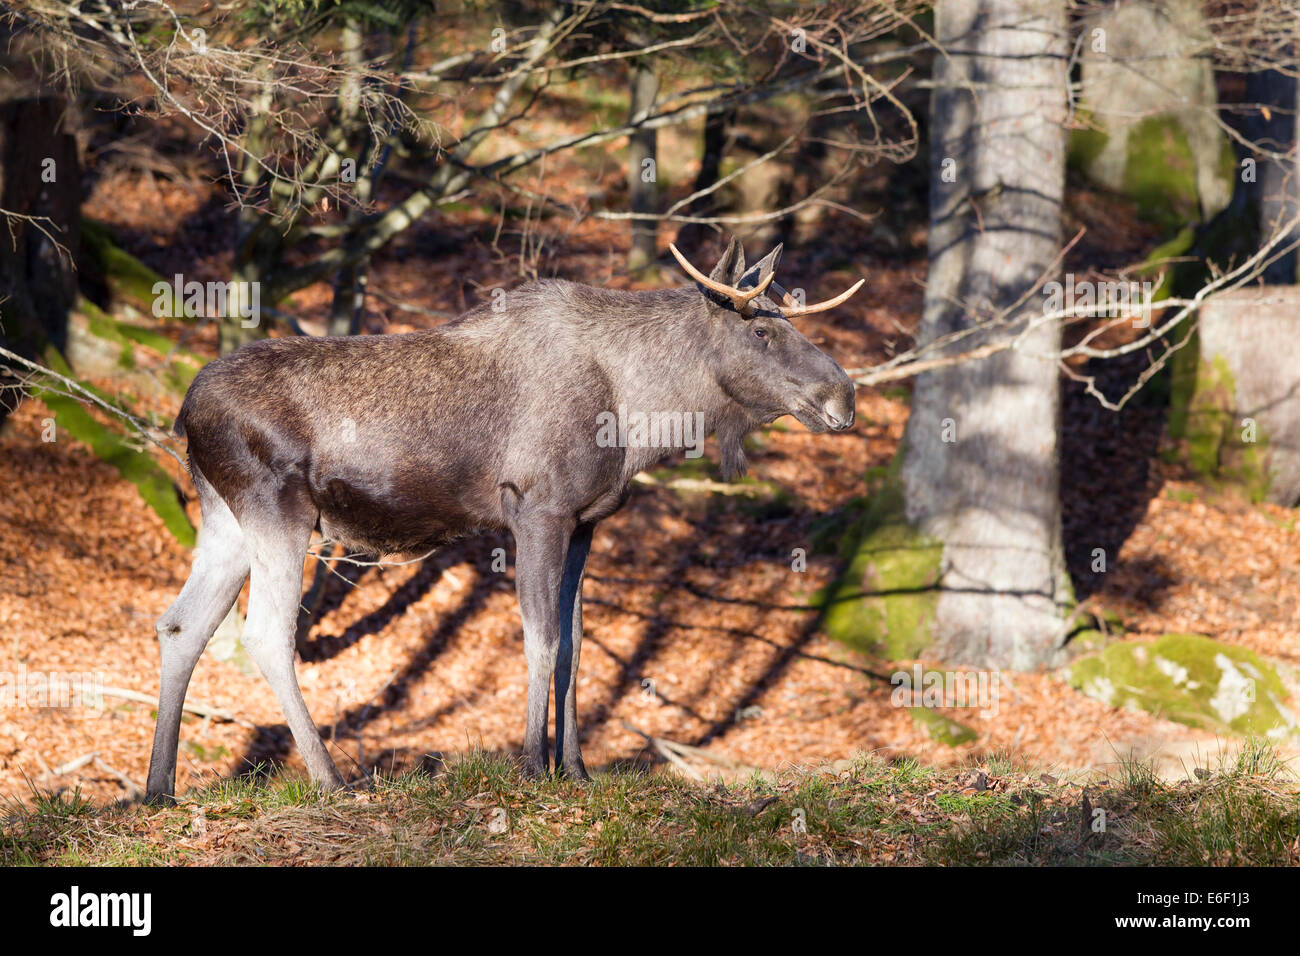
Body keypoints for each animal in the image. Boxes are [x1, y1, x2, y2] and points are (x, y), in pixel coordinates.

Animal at [147, 238, 863, 801]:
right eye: (762, 331)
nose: (844, 396)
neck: (641, 416)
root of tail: (184, 413)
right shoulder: (536, 510)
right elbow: (540, 641)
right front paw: (530, 768)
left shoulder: (586, 521)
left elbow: (574, 645)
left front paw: (575, 770)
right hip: (279, 509)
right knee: (265, 633)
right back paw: (330, 780)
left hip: (225, 518)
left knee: (180, 625)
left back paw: (160, 790)